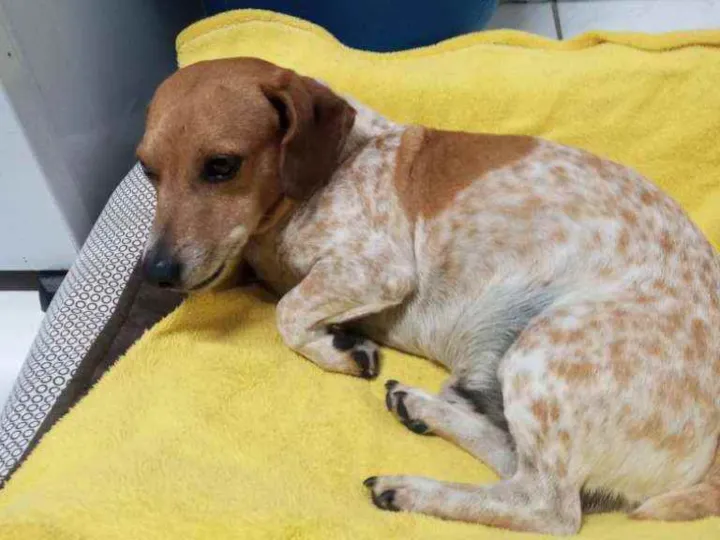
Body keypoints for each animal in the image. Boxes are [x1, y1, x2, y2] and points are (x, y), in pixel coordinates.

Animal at [137, 57, 720, 534]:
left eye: (222, 165)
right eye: (147, 171)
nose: (154, 272)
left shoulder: (378, 267)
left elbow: (288, 311)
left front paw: (339, 350)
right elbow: (288, 302)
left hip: (545, 350)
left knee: (546, 506)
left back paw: (410, 488)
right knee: (513, 464)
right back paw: (420, 407)